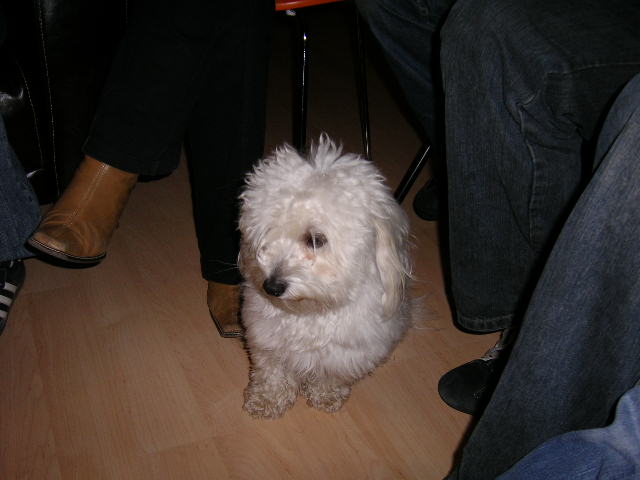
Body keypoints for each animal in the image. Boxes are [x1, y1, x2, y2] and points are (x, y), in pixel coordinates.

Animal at [239, 135, 412, 419]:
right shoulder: (267, 339)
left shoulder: (345, 353)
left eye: (316, 239)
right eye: (267, 232)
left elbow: (332, 375)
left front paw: (326, 395)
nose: (272, 286)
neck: (311, 313)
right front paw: (267, 399)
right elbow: (273, 372)